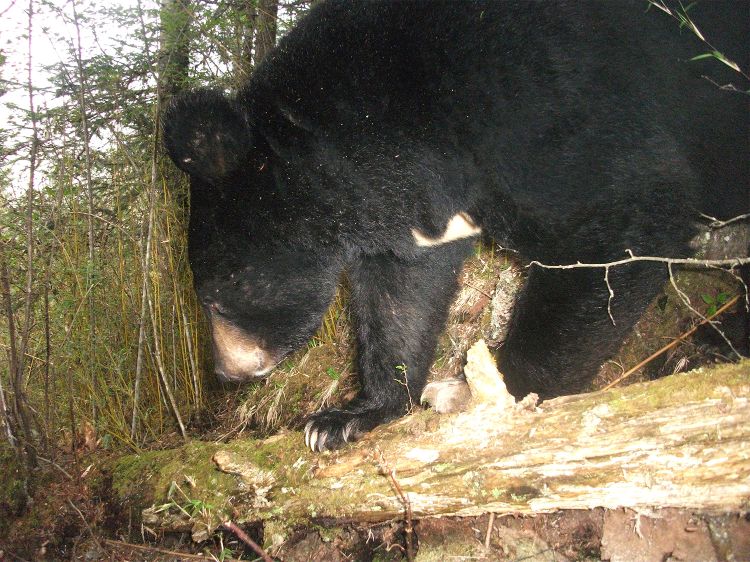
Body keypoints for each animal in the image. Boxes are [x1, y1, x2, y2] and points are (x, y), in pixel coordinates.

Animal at [166, 0, 750, 446]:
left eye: (214, 297)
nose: (226, 372)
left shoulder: (552, 104)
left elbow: (623, 218)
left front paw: (487, 392)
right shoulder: (422, 217)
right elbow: (402, 299)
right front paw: (346, 417)